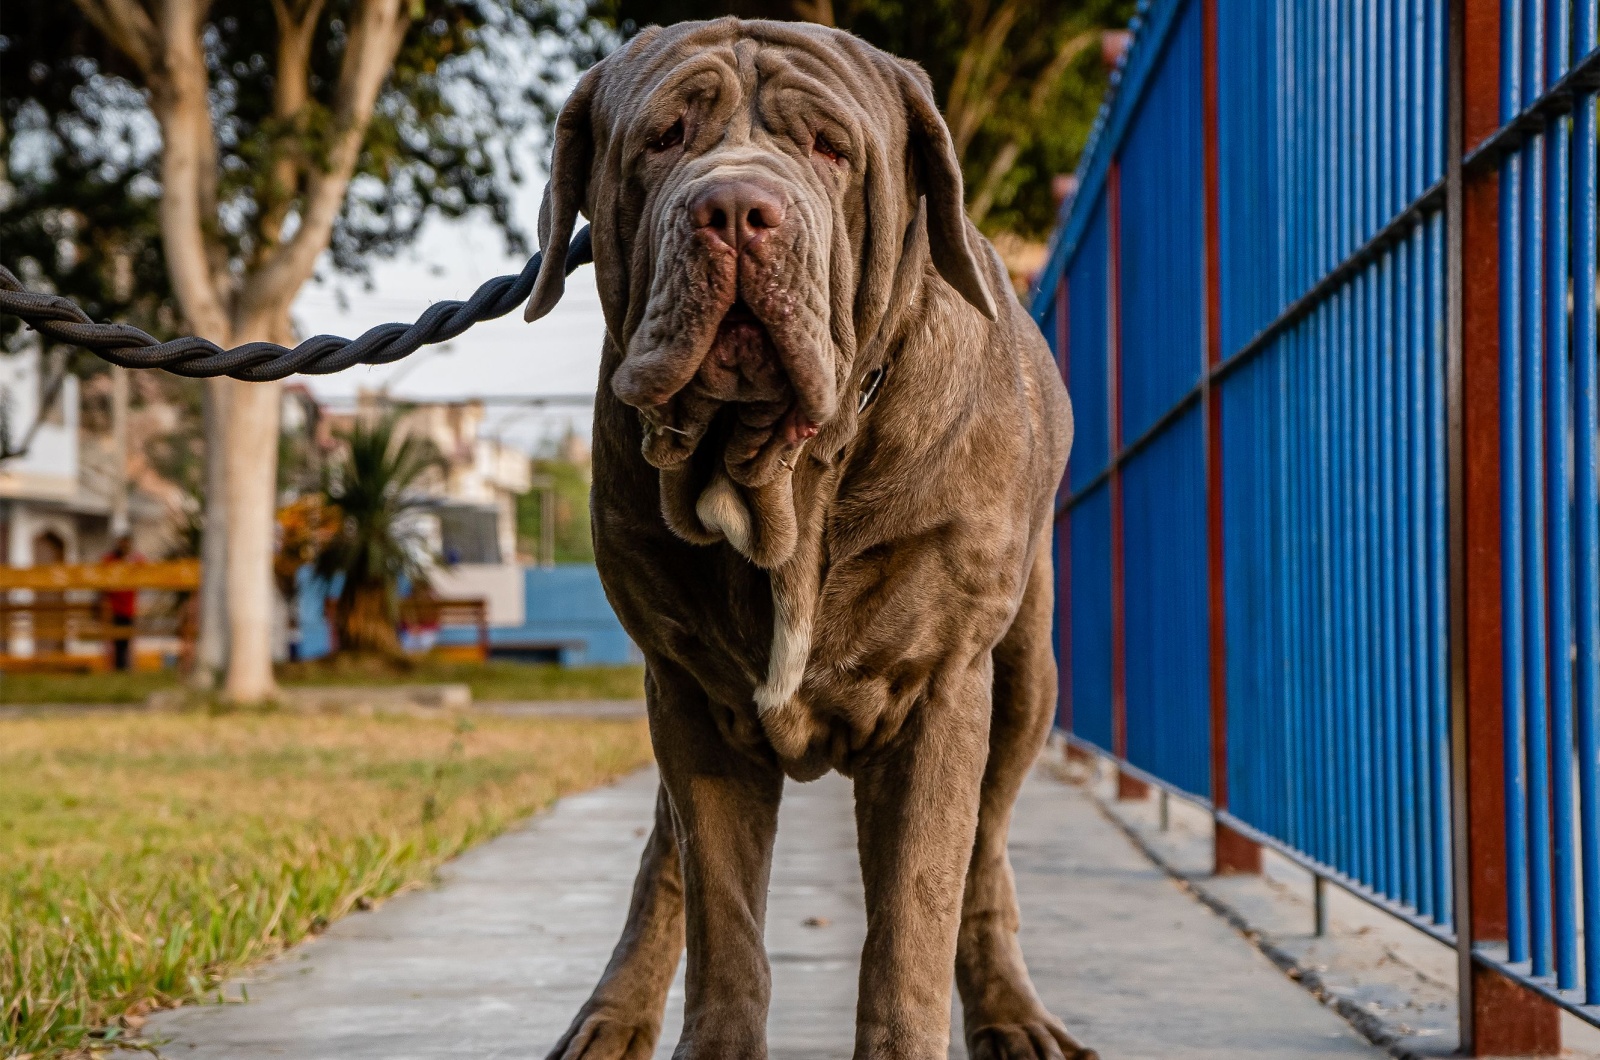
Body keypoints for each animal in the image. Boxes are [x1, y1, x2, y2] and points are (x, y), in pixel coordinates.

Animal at [524, 16, 1088, 1060]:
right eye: (663, 138)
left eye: (830, 148)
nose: (737, 208)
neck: (776, 478)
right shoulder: (690, 698)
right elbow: (723, 919)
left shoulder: (942, 690)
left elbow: (913, 922)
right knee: (666, 859)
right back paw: (611, 1015)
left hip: (1026, 675)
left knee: (986, 856)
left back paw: (1014, 1016)